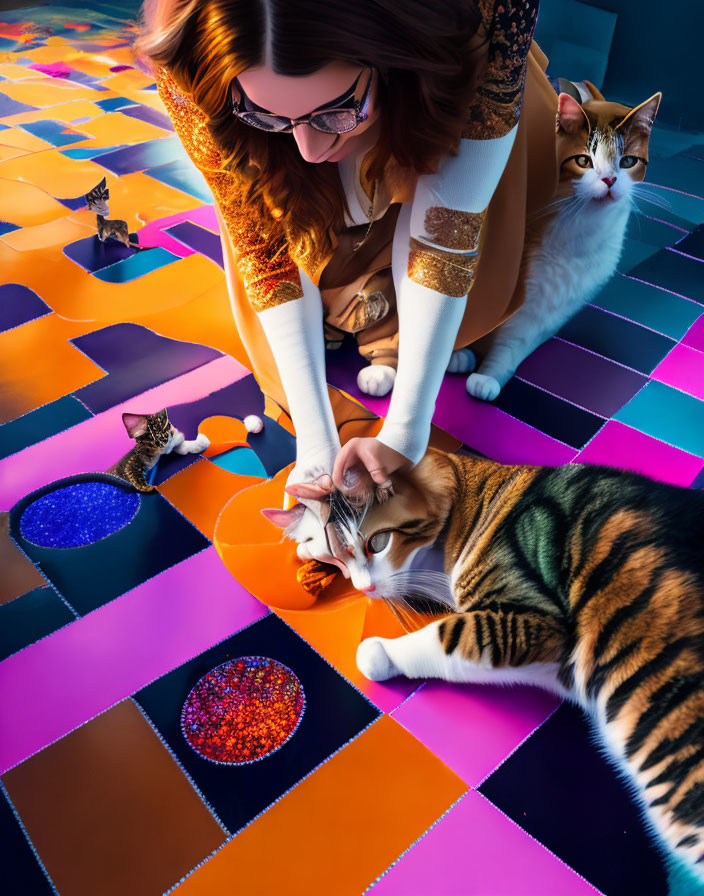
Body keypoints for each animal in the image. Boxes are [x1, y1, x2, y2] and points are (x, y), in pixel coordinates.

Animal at [266, 448, 704, 888]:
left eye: (378, 542)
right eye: (336, 557)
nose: (364, 589)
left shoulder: (534, 622)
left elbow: (446, 636)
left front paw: (378, 653)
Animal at [464, 83, 664, 400]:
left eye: (627, 161)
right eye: (583, 160)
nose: (609, 180)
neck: (577, 238)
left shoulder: (549, 309)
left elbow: (511, 345)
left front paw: (488, 376)